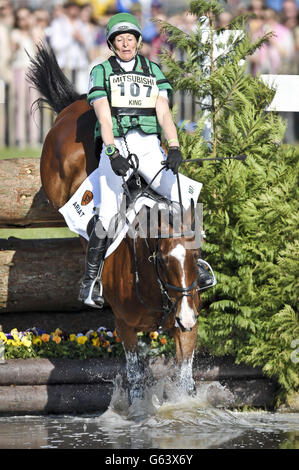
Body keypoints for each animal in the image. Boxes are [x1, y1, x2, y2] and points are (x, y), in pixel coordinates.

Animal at [27, 46, 202, 400]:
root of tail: (75, 104)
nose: (187, 317)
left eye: (195, 256)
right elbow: (135, 379)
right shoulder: (125, 326)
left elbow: (185, 380)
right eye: (163, 260)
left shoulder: (186, 326)